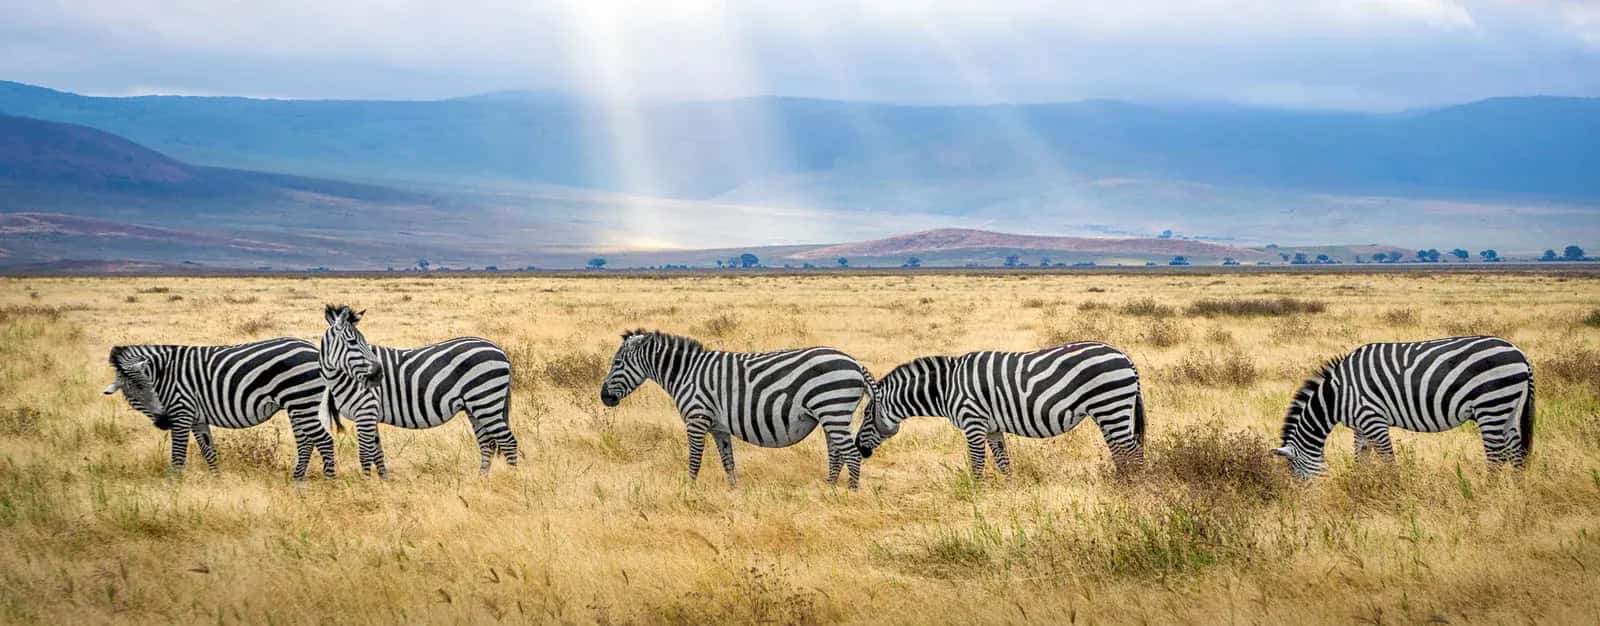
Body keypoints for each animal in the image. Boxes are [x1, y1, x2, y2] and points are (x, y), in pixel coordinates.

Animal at [102, 338, 335, 479]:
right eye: (133, 394)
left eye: (151, 387)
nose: (164, 421)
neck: (164, 374)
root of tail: (314, 349)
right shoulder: (197, 418)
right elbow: (208, 451)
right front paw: (217, 480)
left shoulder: (181, 412)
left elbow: (178, 455)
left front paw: (173, 486)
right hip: (298, 406)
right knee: (306, 442)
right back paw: (298, 480)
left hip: (301, 402)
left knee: (324, 441)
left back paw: (329, 482)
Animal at [317, 304, 518, 477]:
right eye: (352, 342)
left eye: (363, 342)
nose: (378, 375)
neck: (343, 377)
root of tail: (500, 350)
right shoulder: (370, 414)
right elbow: (377, 453)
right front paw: (383, 481)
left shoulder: (365, 411)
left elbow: (365, 454)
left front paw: (366, 485)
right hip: (475, 407)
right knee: (487, 443)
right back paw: (481, 479)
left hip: (486, 401)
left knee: (508, 442)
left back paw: (512, 478)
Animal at [599, 329, 874, 488]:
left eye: (617, 363)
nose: (604, 397)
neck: (686, 373)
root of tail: (854, 362)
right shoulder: (718, 427)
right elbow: (728, 461)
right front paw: (733, 492)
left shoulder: (697, 418)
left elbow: (695, 459)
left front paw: (689, 491)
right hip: (830, 415)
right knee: (836, 453)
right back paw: (829, 489)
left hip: (832, 409)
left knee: (852, 455)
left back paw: (849, 494)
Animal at [854, 341, 1146, 480]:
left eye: (866, 415)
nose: (858, 448)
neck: (946, 388)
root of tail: (1125, 357)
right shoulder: (992, 428)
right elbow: (1003, 463)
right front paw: (1009, 492)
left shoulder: (973, 423)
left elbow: (977, 463)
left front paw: (975, 494)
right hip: (1110, 411)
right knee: (1121, 451)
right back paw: (1121, 482)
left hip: (1110, 406)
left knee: (1132, 451)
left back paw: (1134, 486)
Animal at [1273, 336, 1535, 479]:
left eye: (1295, 472)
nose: (1304, 502)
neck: (1336, 396)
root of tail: (1519, 353)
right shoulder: (1360, 426)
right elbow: (1361, 458)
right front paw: (1360, 486)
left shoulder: (1373, 419)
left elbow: (1388, 460)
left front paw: (1394, 490)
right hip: (1509, 408)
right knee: (1516, 453)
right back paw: (1515, 495)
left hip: (1491, 405)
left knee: (1497, 456)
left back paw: (1486, 494)